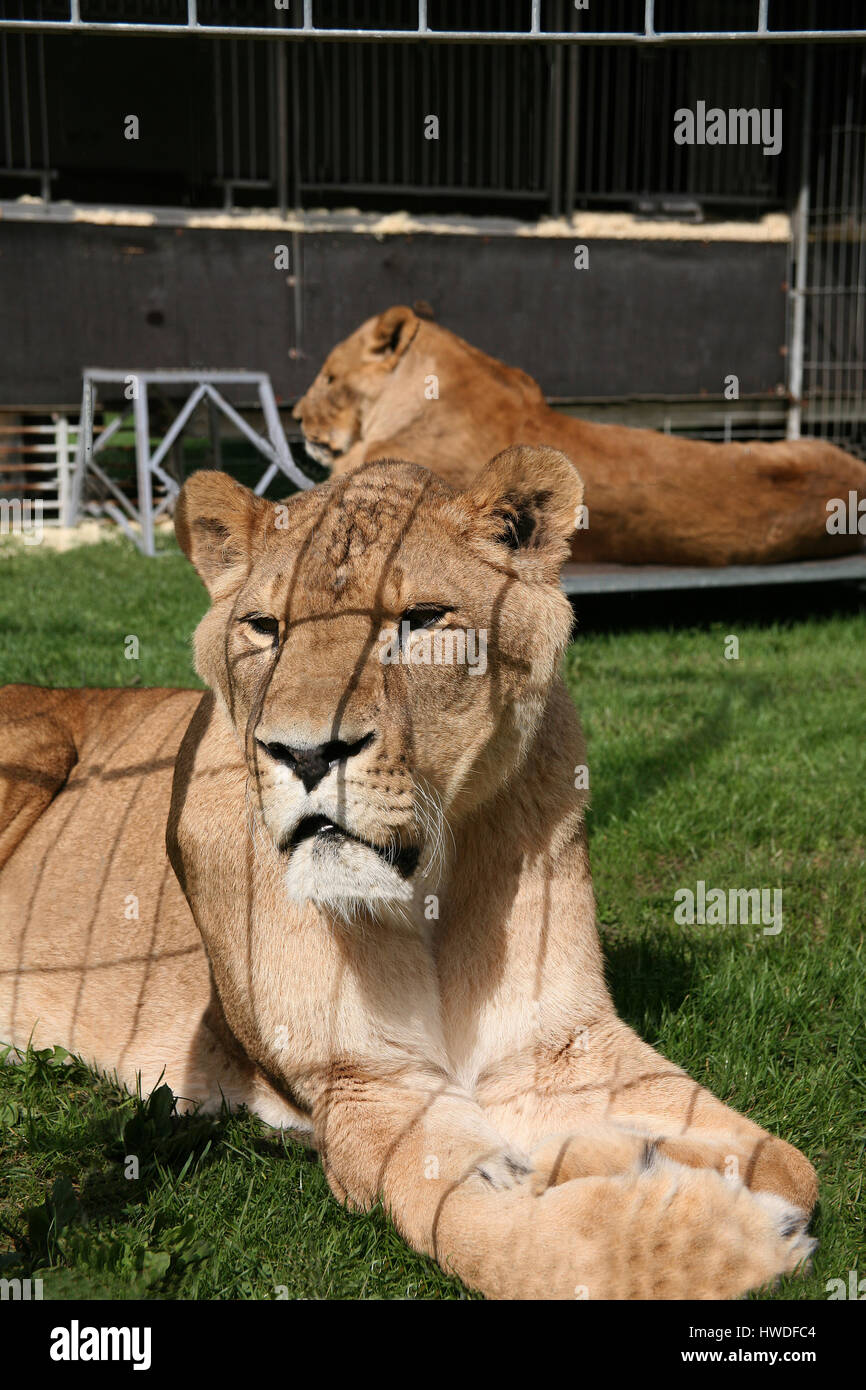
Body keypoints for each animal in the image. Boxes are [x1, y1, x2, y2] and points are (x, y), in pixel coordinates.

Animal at [0, 449, 818, 1299]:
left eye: (421, 620)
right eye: (264, 628)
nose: (303, 754)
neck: (427, 892)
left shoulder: (552, 1046)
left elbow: (789, 1165)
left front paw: (629, 1156)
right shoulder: (366, 1084)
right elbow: (513, 1238)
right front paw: (732, 1234)